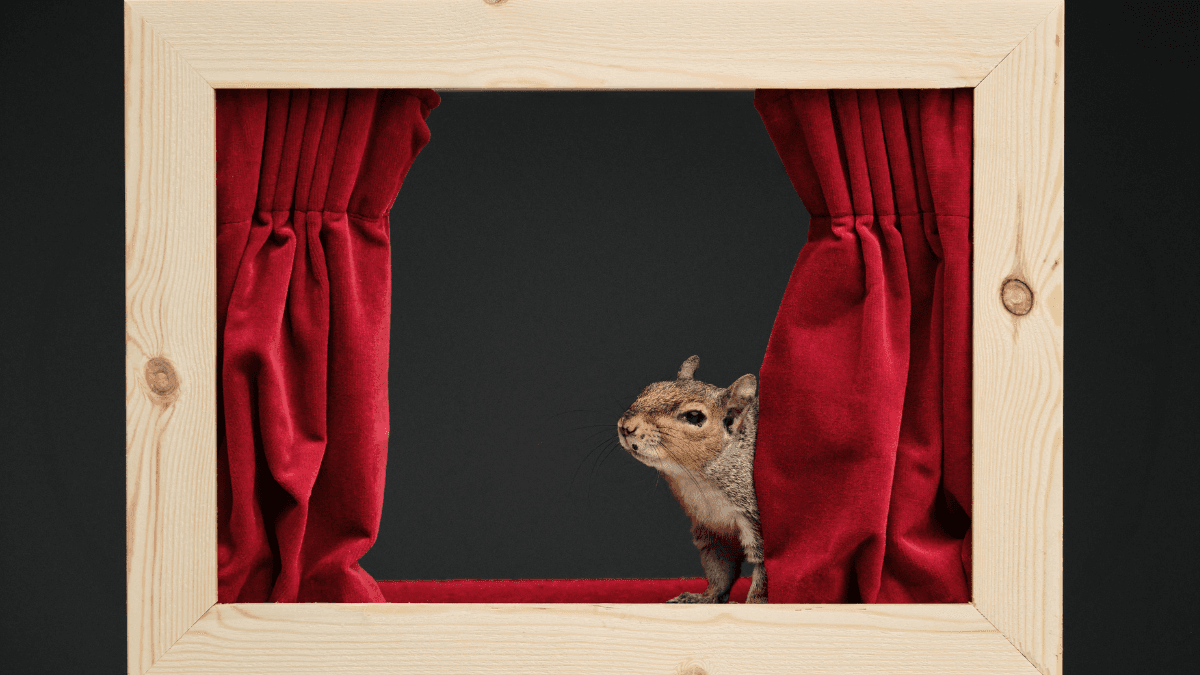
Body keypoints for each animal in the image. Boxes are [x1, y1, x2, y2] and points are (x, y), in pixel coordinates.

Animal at [617, 355, 766, 604]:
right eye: (648, 389)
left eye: (694, 416)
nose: (625, 426)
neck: (697, 480)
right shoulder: (710, 528)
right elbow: (719, 568)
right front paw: (704, 598)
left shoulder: (755, 520)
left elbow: (762, 573)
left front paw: (753, 604)